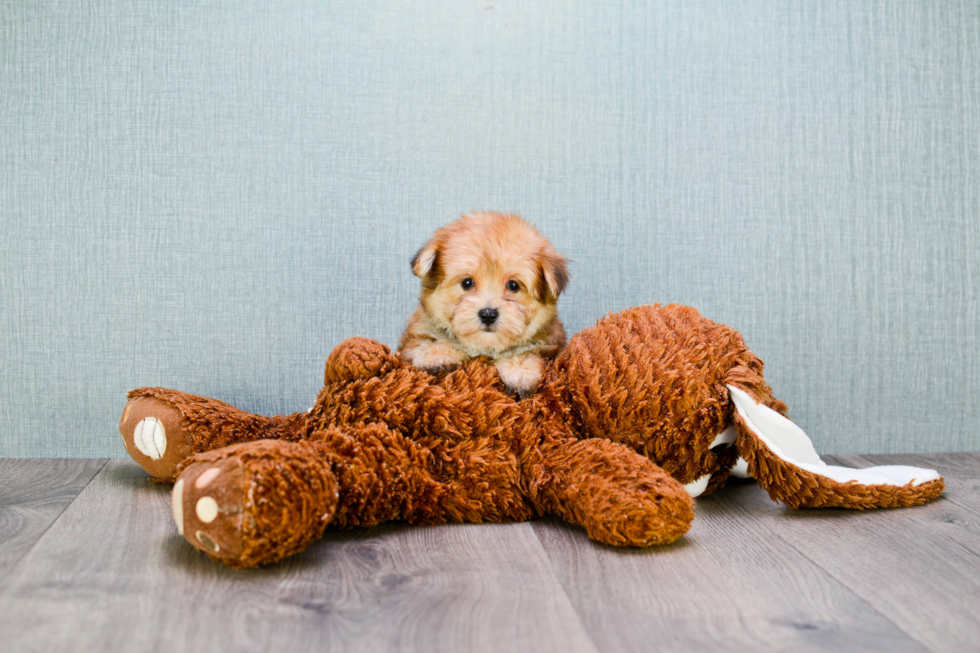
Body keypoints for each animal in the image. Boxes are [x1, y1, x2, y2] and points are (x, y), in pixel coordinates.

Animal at [398, 211, 568, 394]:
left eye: (513, 285)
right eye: (467, 283)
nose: (488, 314)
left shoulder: (551, 346)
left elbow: (527, 351)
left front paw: (520, 369)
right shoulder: (412, 338)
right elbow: (423, 341)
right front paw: (436, 353)